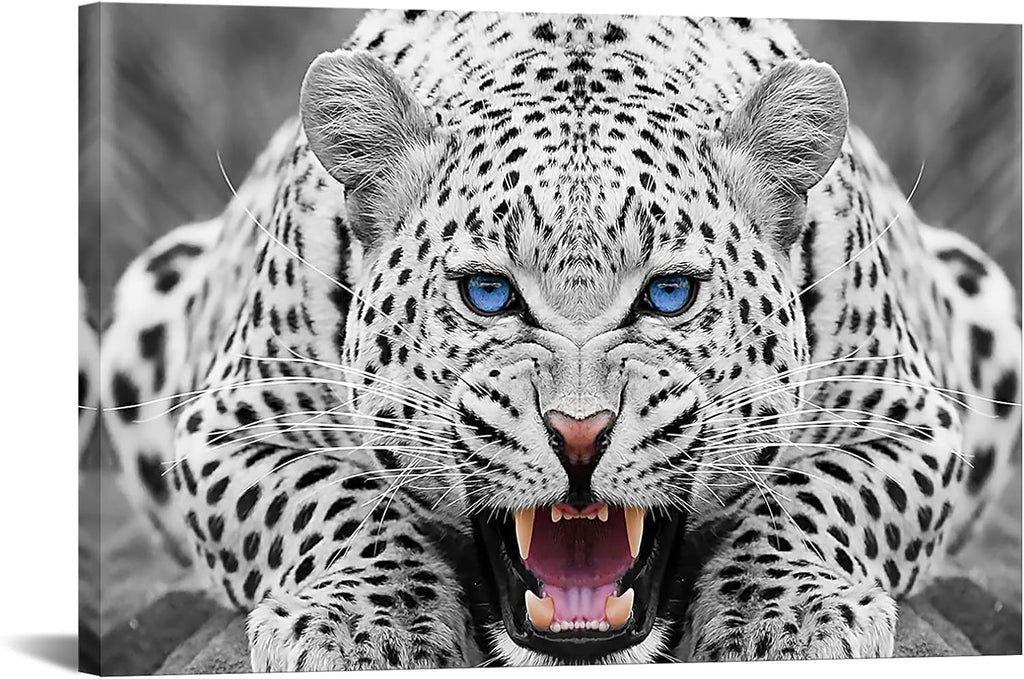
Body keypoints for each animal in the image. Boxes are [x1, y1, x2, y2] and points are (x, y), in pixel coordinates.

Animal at [94, 10, 1022, 670]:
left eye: (669, 295)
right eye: (488, 294)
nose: (579, 435)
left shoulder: (911, 419)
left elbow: (811, 492)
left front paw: (783, 616)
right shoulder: (228, 425)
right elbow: (333, 497)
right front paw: (366, 624)